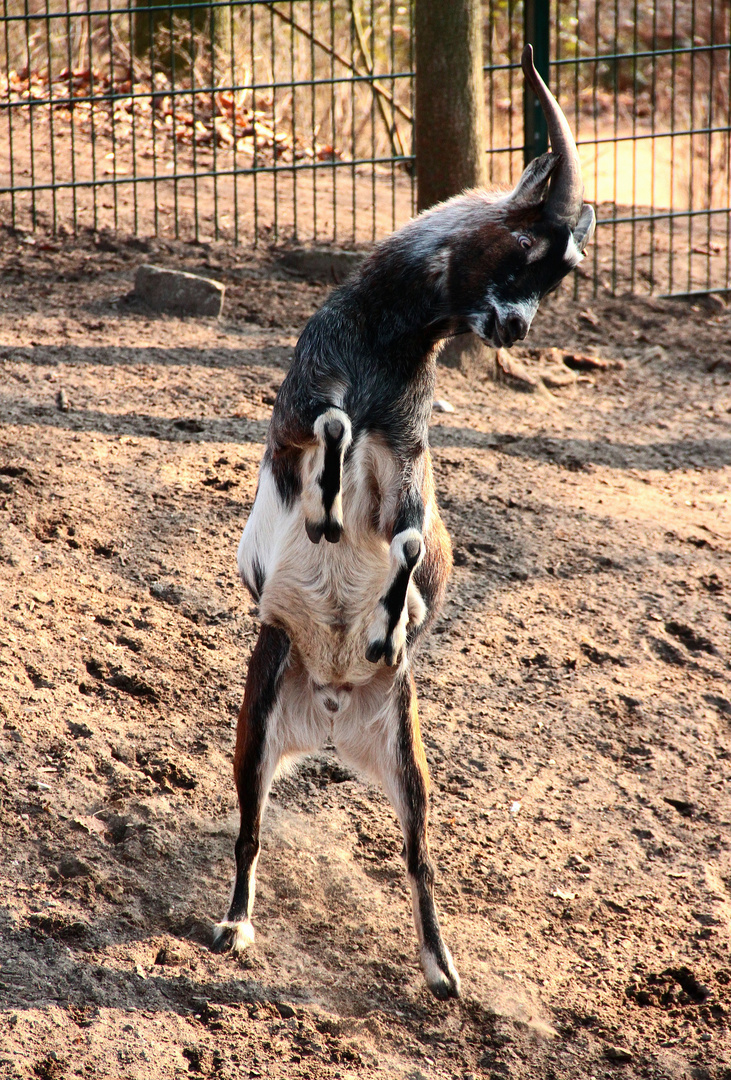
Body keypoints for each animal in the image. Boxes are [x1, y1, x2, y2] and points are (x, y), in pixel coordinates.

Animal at [210, 46, 591, 997]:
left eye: (559, 276)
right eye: (523, 246)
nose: (515, 330)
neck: (384, 348)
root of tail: (330, 716)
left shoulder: (408, 461)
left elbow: (414, 537)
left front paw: (388, 620)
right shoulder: (297, 416)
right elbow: (331, 431)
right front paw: (321, 512)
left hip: (407, 758)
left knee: (418, 856)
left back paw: (441, 971)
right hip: (256, 720)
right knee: (249, 826)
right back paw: (233, 927)